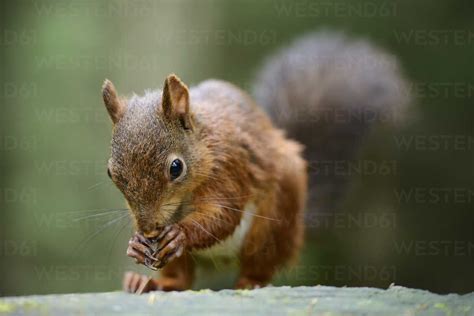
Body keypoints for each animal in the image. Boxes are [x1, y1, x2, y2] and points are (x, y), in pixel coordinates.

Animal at [101, 30, 412, 292]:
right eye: (110, 173)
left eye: (176, 168)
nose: (149, 229)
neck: (204, 146)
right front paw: (136, 244)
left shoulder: (228, 167)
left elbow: (223, 215)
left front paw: (179, 233)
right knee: (181, 279)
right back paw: (149, 282)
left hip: (274, 221)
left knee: (260, 264)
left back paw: (250, 282)